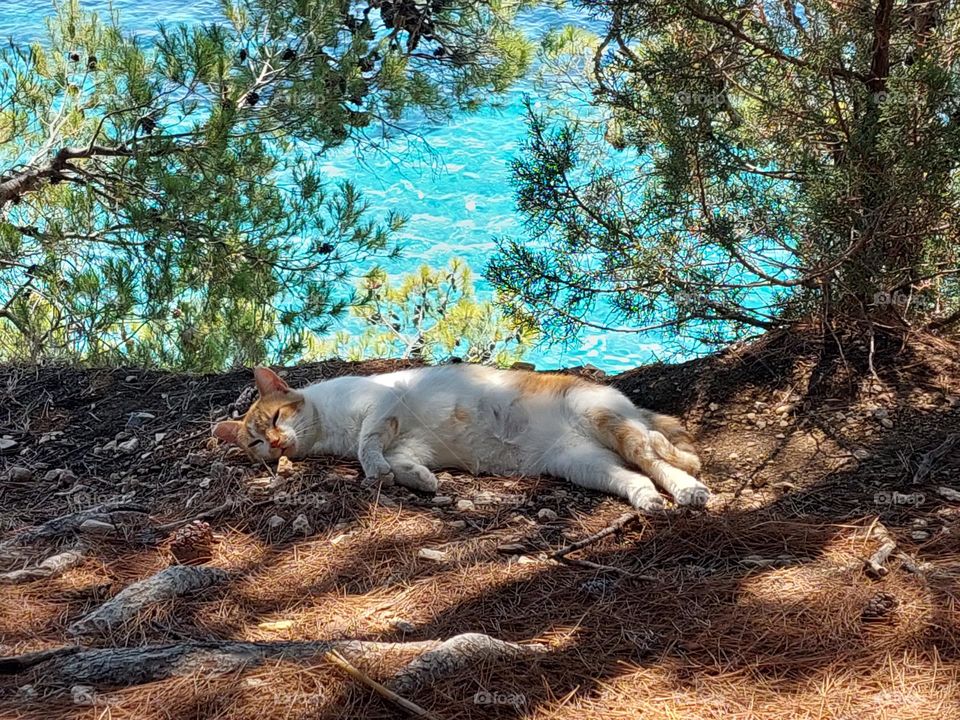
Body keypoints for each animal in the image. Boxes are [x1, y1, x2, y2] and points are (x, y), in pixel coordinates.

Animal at [214, 366, 708, 512]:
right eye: (255, 444)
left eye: (277, 416)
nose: (276, 444)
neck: (329, 431)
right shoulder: (408, 444)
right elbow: (403, 463)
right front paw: (420, 480)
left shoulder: (384, 405)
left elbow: (368, 443)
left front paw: (374, 470)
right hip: (583, 464)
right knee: (634, 477)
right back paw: (650, 501)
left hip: (605, 421)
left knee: (655, 457)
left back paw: (689, 490)